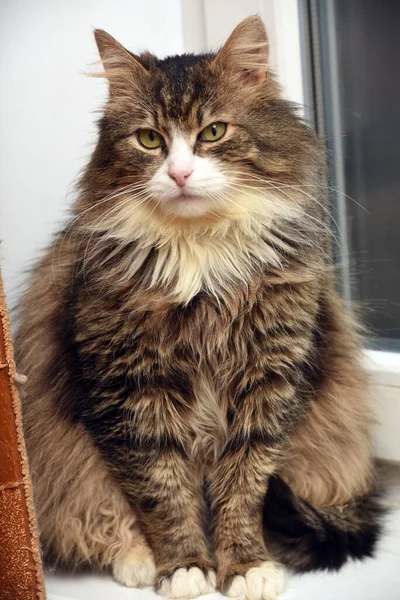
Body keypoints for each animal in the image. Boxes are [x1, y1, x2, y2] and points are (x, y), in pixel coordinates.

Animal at [15, 16, 382, 596]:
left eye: (213, 133)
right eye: (149, 140)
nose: (180, 174)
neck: (201, 261)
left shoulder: (267, 385)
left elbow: (244, 489)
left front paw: (246, 567)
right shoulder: (131, 391)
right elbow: (163, 493)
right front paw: (185, 566)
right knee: (99, 518)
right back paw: (138, 561)